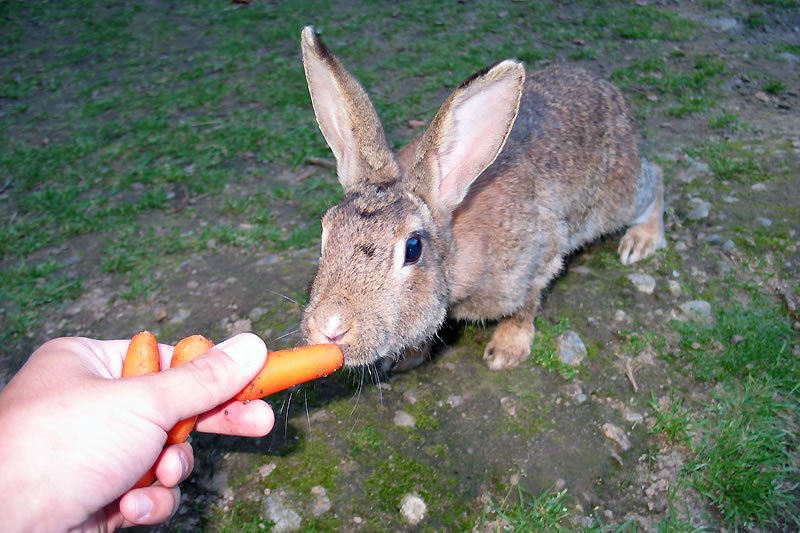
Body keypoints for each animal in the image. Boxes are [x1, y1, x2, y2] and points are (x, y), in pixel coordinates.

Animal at [298, 26, 666, 370]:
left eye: (413, 248)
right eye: (325, 233)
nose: (331, 327)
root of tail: (609, 91)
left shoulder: (539, 258)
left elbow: (526, 305)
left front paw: (506, 351)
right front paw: (405, 358)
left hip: (616, 200)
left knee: (654, 180)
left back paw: (641, 240)